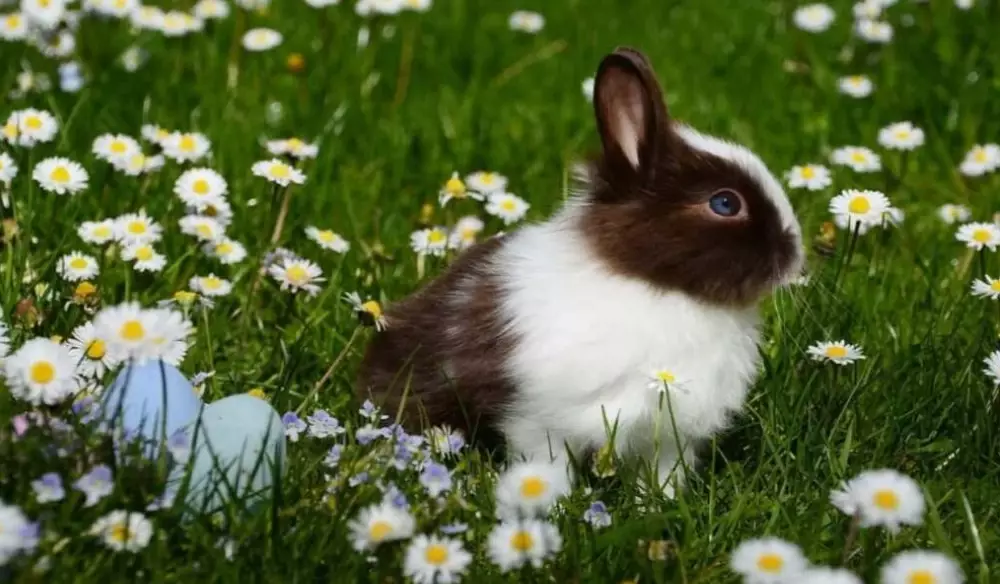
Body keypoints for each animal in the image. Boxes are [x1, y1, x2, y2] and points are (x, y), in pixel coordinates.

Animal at [357, 47, 804, 496]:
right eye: (725, 203)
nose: (795, 254)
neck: (654, 285)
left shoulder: (667, 437)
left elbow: (660, 475)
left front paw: (656, 503)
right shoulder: (539, 421)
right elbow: (546, 466)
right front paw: (548, 502)